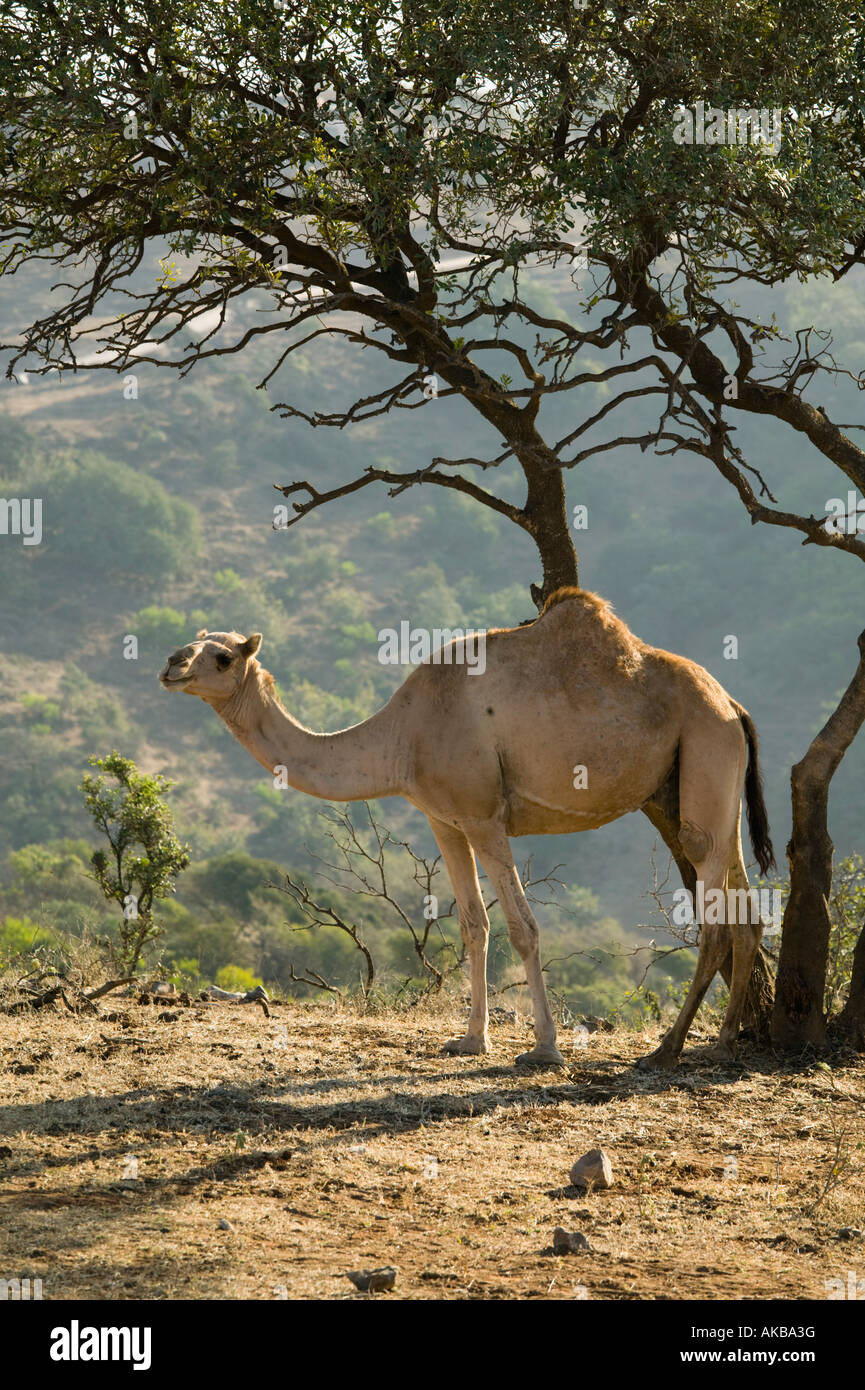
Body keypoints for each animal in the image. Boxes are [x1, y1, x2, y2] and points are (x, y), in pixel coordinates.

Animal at [159, 587, 775, 1070]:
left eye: (221, 657)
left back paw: (667, 1049)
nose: (170, 662)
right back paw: (722, 1043)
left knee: (713, 912)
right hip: (696, 782)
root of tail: (734, 705)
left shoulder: (483, 816)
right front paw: (470, 1040)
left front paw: (544, 1049)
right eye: (197, 641)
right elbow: (474, 925)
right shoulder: (443, 819)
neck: (404, 736)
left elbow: (523, 927)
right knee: (745, 911)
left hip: (703, 748)